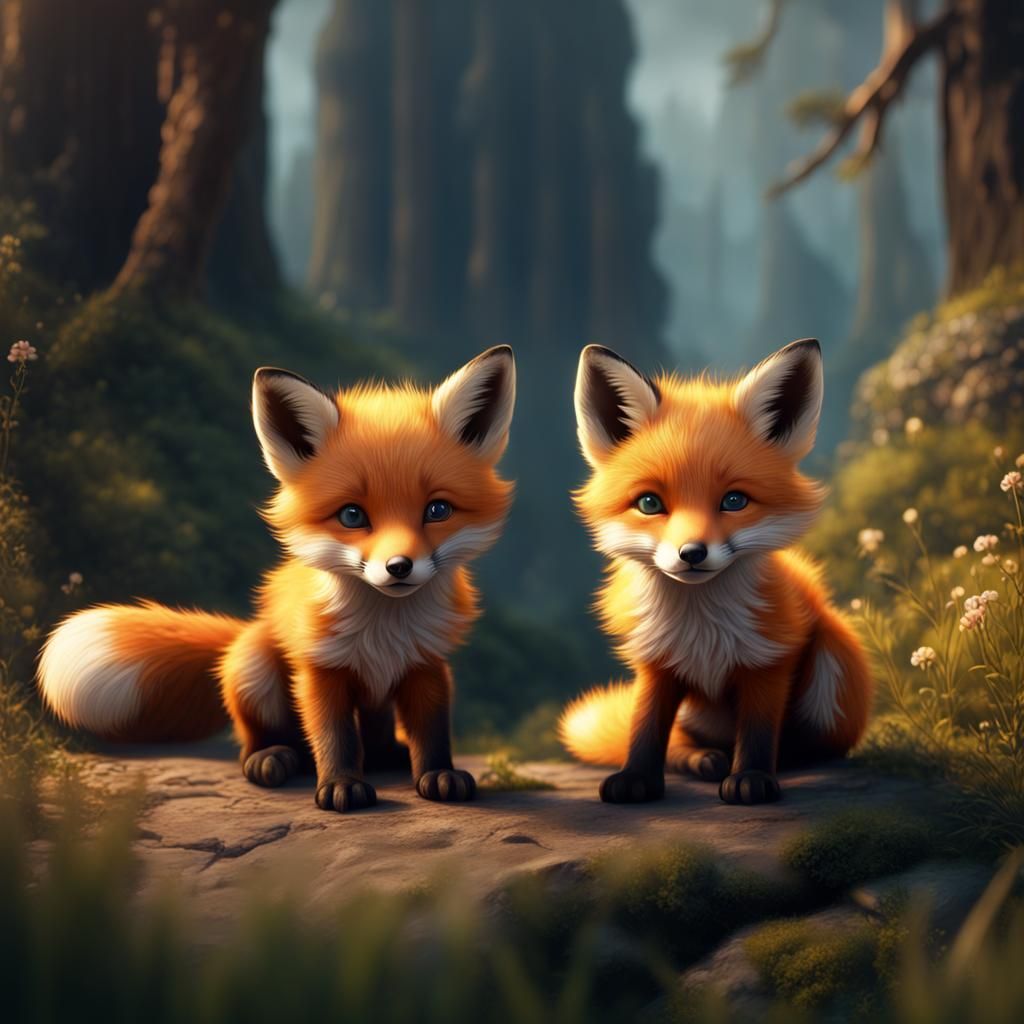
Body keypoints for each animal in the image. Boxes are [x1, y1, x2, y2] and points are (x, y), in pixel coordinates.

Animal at [38, 346, 516, 813]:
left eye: (437, 510)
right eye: (352, 515)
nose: (399, 567)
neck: (384, 630)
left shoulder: (426, 664)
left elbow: (431, 730)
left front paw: (438, 775)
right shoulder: (319, 668)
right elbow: (334, 736)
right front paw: (341, 785)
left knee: (376, 741)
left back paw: (385, 757)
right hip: (253, 670)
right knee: (259, 739)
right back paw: (272, 758)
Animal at [559, 339, 872, 806]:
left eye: (734, 501)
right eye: (649, 503)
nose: (691, 553)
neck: (701, 628)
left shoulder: (769, 658)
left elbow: (758, 731)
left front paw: (752, 779)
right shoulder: (656, 662)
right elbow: (645, 727)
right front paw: (636, 778)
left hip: (833, 657)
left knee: (806, 745)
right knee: (681, 746)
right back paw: (704, 759)